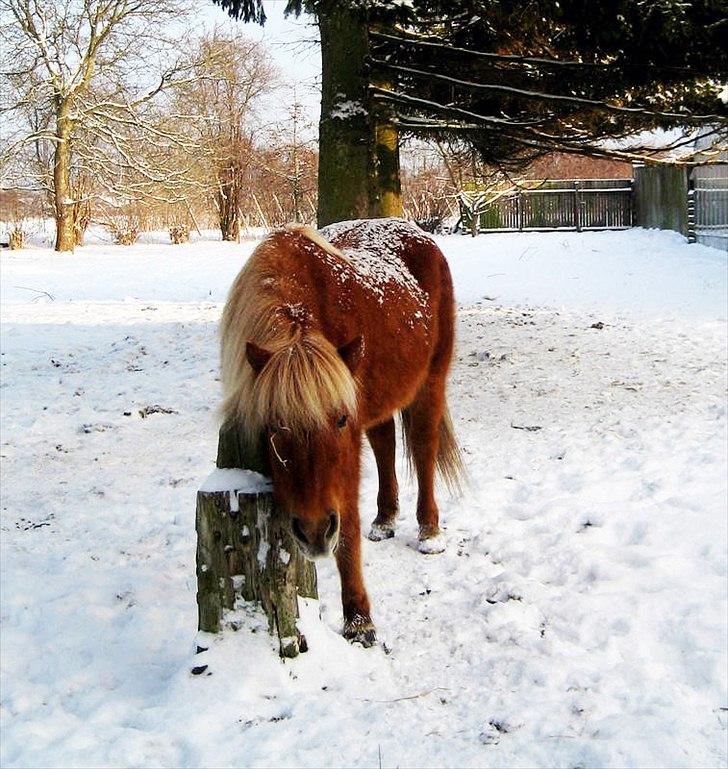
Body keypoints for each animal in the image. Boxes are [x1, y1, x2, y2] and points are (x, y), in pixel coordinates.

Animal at [220, 219, 460, 644]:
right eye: (272, 426)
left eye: (340, 420)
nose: (315, 532)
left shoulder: (346, 450)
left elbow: (346, 529)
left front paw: (359, 619)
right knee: (384, 444)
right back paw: (384, 520)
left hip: (431, 382)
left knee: (423, 447)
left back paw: (429, 531)